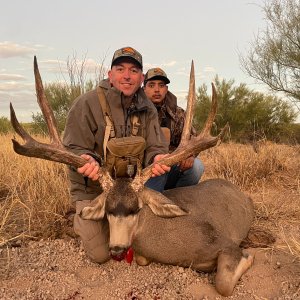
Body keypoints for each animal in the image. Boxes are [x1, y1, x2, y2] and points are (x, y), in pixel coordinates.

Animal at [9, 55, 254, 296]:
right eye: (108, 210)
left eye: (135, 209)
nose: (117, 249)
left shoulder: (226, 243)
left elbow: (223, 284)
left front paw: (249, 257)